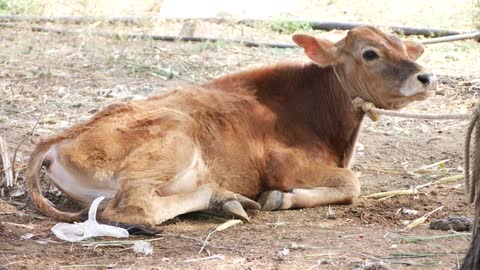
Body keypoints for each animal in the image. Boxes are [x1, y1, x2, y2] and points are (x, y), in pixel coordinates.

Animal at [27, 25, 438, 226]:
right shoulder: (281, 163)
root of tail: (55, 140)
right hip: (174, 140)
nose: (427, 77)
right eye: (370, 53)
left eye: (405, 47)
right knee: (132, 208)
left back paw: (226, 200)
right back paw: (224, 199)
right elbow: (352, 183)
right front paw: (279, 198)